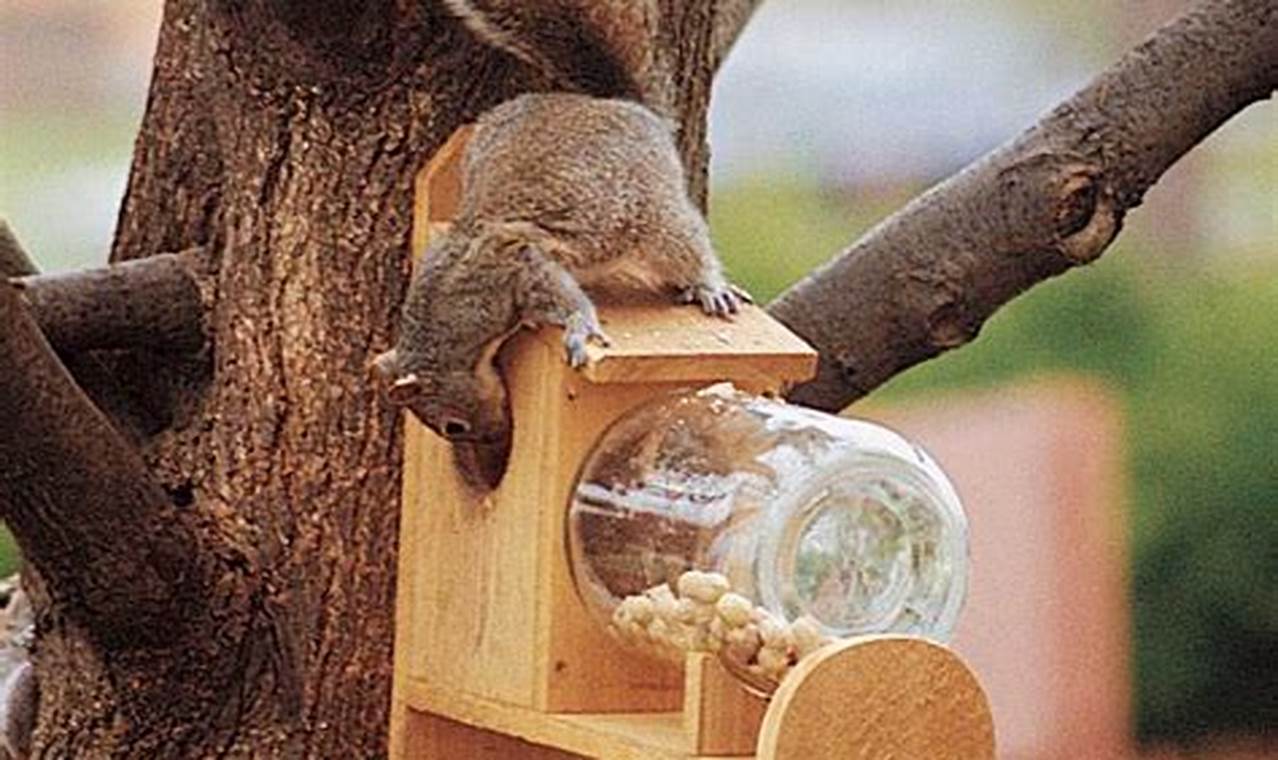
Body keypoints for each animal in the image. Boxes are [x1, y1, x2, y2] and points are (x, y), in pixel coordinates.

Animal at [374, 7, 746, 489]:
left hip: (651, 209)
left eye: (452, 427)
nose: (494, 439)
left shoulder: (508, 265)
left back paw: (709, 286)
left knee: (685, 243)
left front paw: (579, 326)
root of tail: (619, 104)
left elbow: (558, 290)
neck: (445, 320)